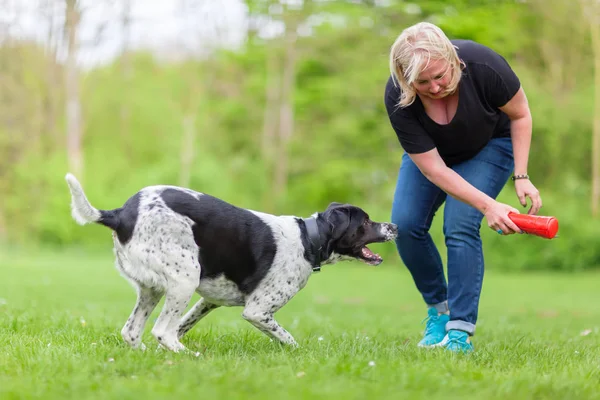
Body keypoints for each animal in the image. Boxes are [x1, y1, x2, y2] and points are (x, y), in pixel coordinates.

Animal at [64, 173, 398, 352]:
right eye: (366, 222)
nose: (394, 226)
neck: (307, 239)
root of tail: (120, 214)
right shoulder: (258, 311)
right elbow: (288, 339)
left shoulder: (208, 301)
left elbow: (182, 325)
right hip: (185, 278)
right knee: (161, 331)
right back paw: (190, 358)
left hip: (154, 289)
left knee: (134, 331)